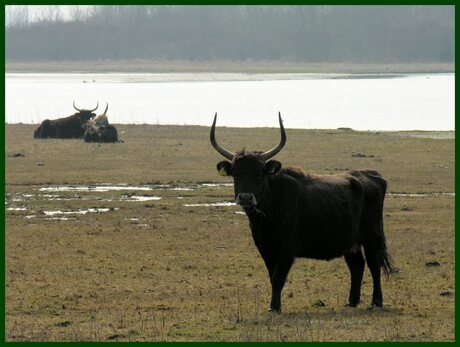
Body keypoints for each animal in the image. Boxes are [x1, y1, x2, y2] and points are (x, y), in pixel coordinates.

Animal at [210, 113, 394, 314]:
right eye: (236, 174)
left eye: (260, 174)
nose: (245, 197)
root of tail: (371, 175)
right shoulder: (266, 248)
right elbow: (272, 276)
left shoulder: (287, 248)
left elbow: (278, 278)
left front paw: (274, 307)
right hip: (350, 241)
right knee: (357, 266)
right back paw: (351, 301)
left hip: (372, 236)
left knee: (374, 266)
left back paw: (376, 301)